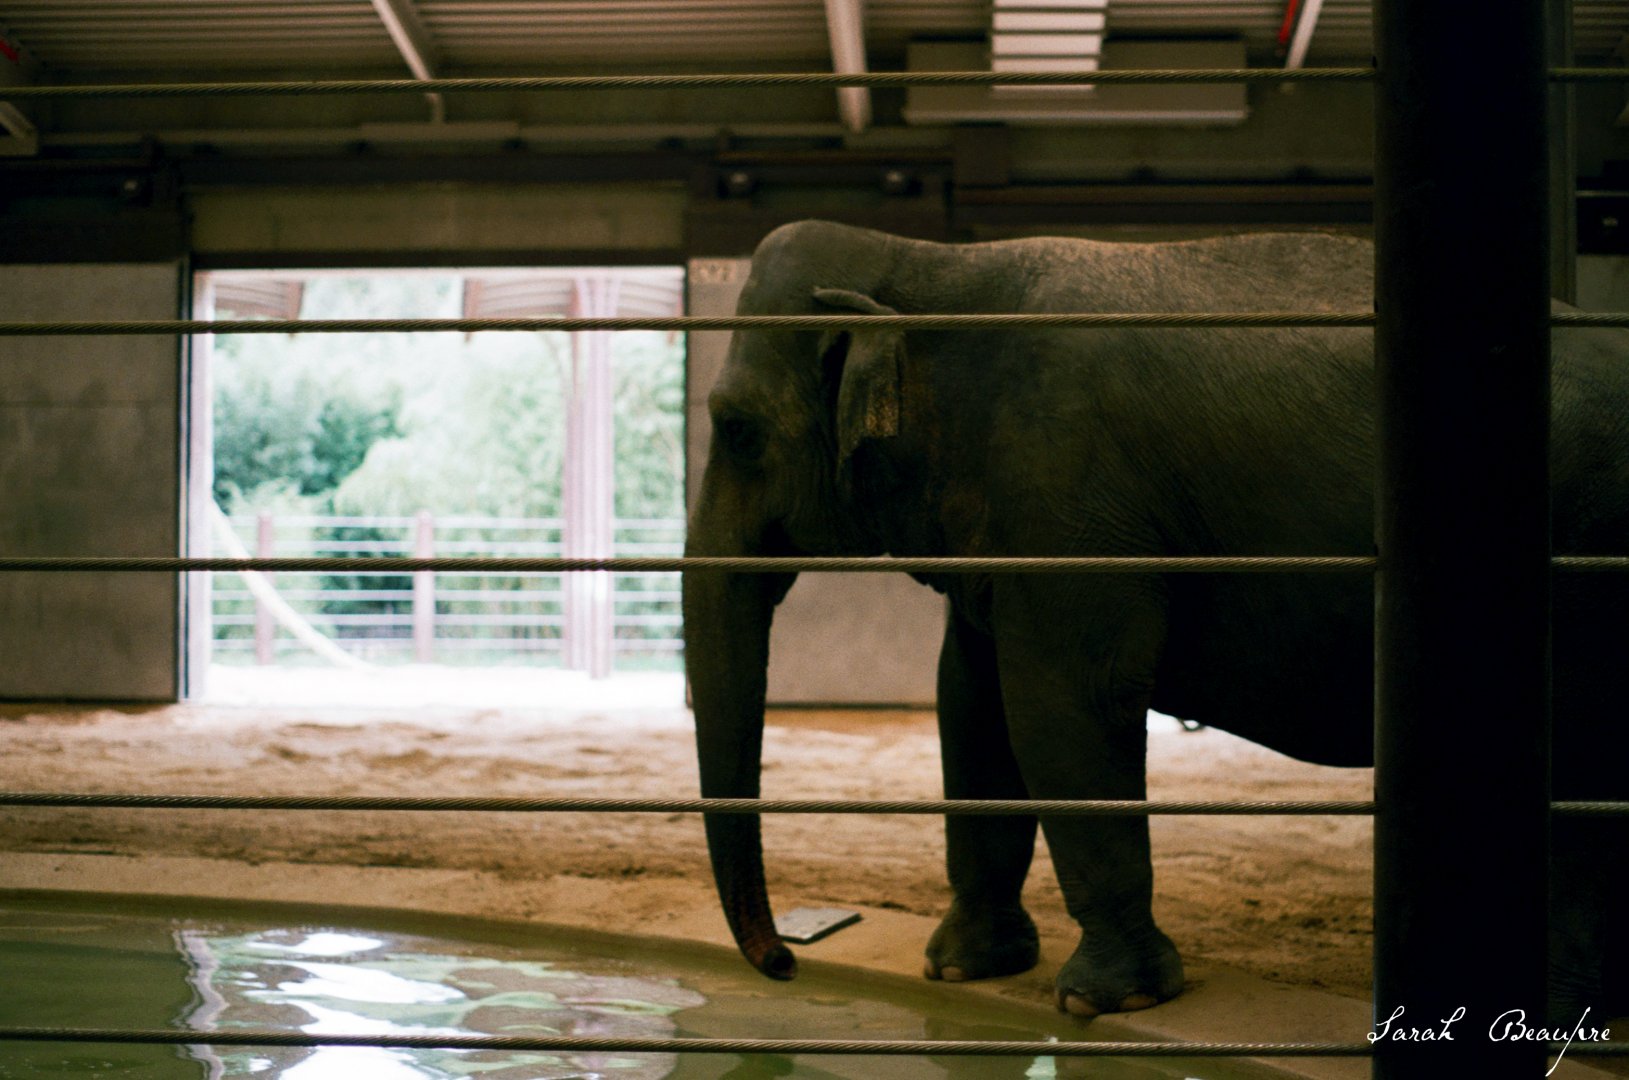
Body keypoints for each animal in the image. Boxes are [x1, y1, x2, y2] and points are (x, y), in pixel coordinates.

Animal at [682, 219, 1629, 1019]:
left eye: (736, 430)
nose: (784, 962)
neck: (932, 262)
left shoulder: (1069, 486)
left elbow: (1065, 700)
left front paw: (1105, 1001)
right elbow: (972, 699)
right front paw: (959, 969)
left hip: (1586, 556)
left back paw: (1562, 1011)